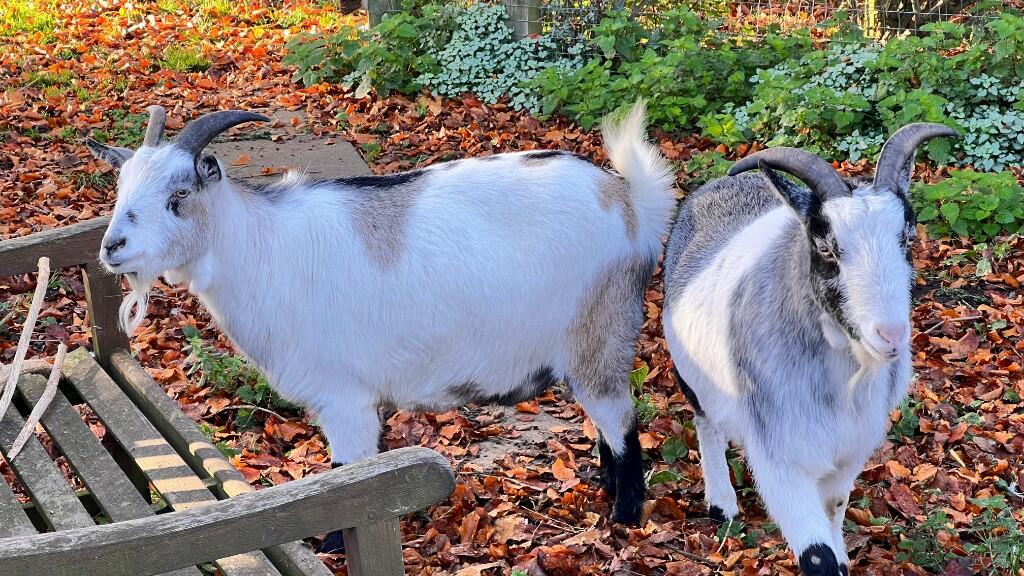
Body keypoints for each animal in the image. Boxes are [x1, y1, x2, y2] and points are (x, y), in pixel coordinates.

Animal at [84, 102, 675, 525]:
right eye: (121, 189)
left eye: (180, 194)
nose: (113, 247)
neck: (263, 248)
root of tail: (628, 203)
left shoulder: (344, 398)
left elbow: (344, 479)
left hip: (598, 334)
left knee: (622, 424)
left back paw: (624, 517)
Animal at [661, 124, 955, 575]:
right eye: (826, 248)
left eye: (907, 238)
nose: (890, 335)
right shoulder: (780, 460)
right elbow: (818, 555)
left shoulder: (848, 455)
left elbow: (834, 510)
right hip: (691, 374)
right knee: (706, 422)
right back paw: (722, 504)